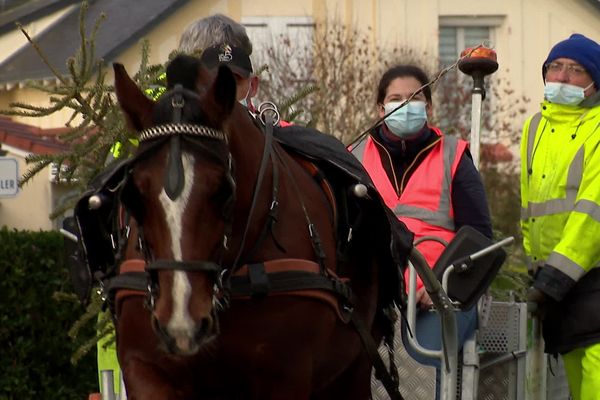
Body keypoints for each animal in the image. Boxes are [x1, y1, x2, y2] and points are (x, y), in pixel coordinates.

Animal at [110, 55, 406, 400]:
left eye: (224, 190)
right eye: (132, 196)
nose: (181, 322)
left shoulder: (285, 374)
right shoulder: (145, 369)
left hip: (351, 371)